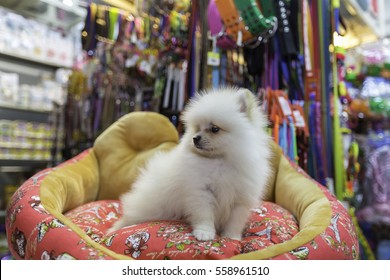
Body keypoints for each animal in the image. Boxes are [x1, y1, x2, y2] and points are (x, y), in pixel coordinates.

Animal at [107, 87, 272, 241]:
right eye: (197, 128)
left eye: (215, 129)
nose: (195, 138)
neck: (220, 160)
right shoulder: (201, 192)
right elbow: (205, 215)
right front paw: (205, 233)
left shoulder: (241, 199)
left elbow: (235, 221)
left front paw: (232, 237)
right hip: (151, 207)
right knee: (130, 217)